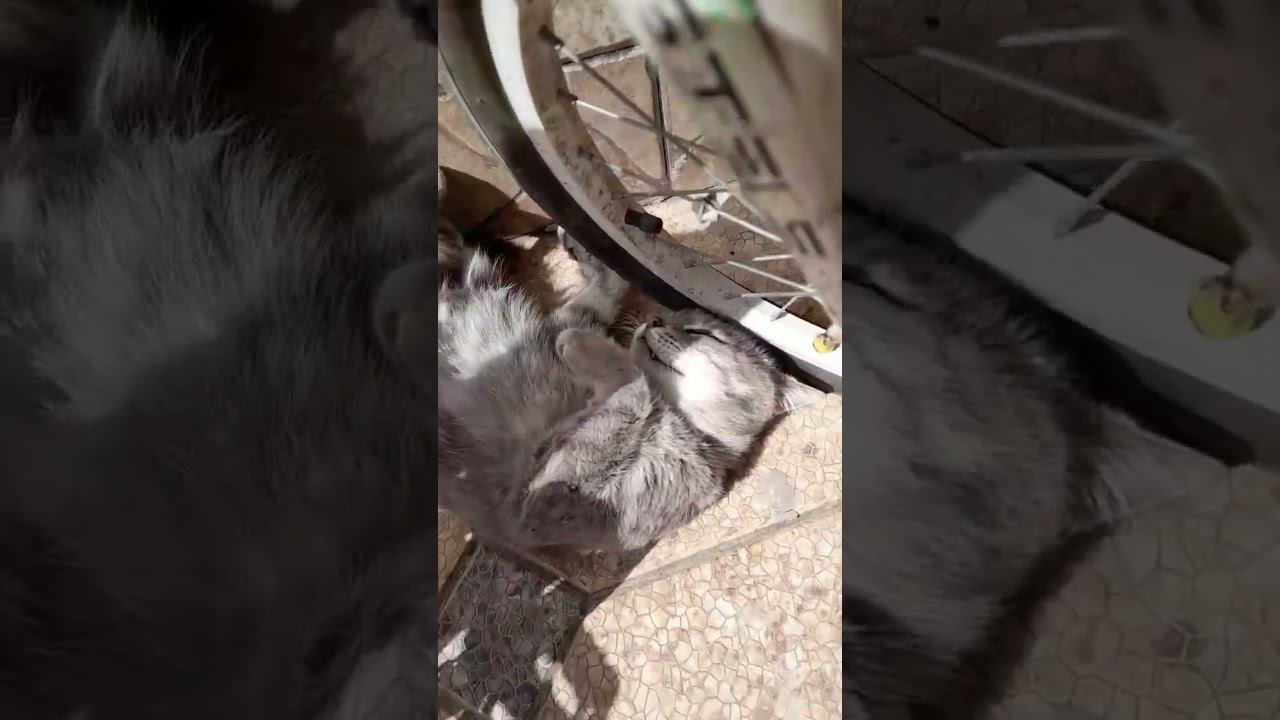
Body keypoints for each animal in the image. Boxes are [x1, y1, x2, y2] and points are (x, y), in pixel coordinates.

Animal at [437, 229, 824, 553]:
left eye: (703, 333)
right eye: (671, 316)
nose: (654, 320)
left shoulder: (537, 502)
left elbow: (631, 390)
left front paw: (587, 348)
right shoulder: (569, 320)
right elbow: (603, 299)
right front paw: (597, 250)